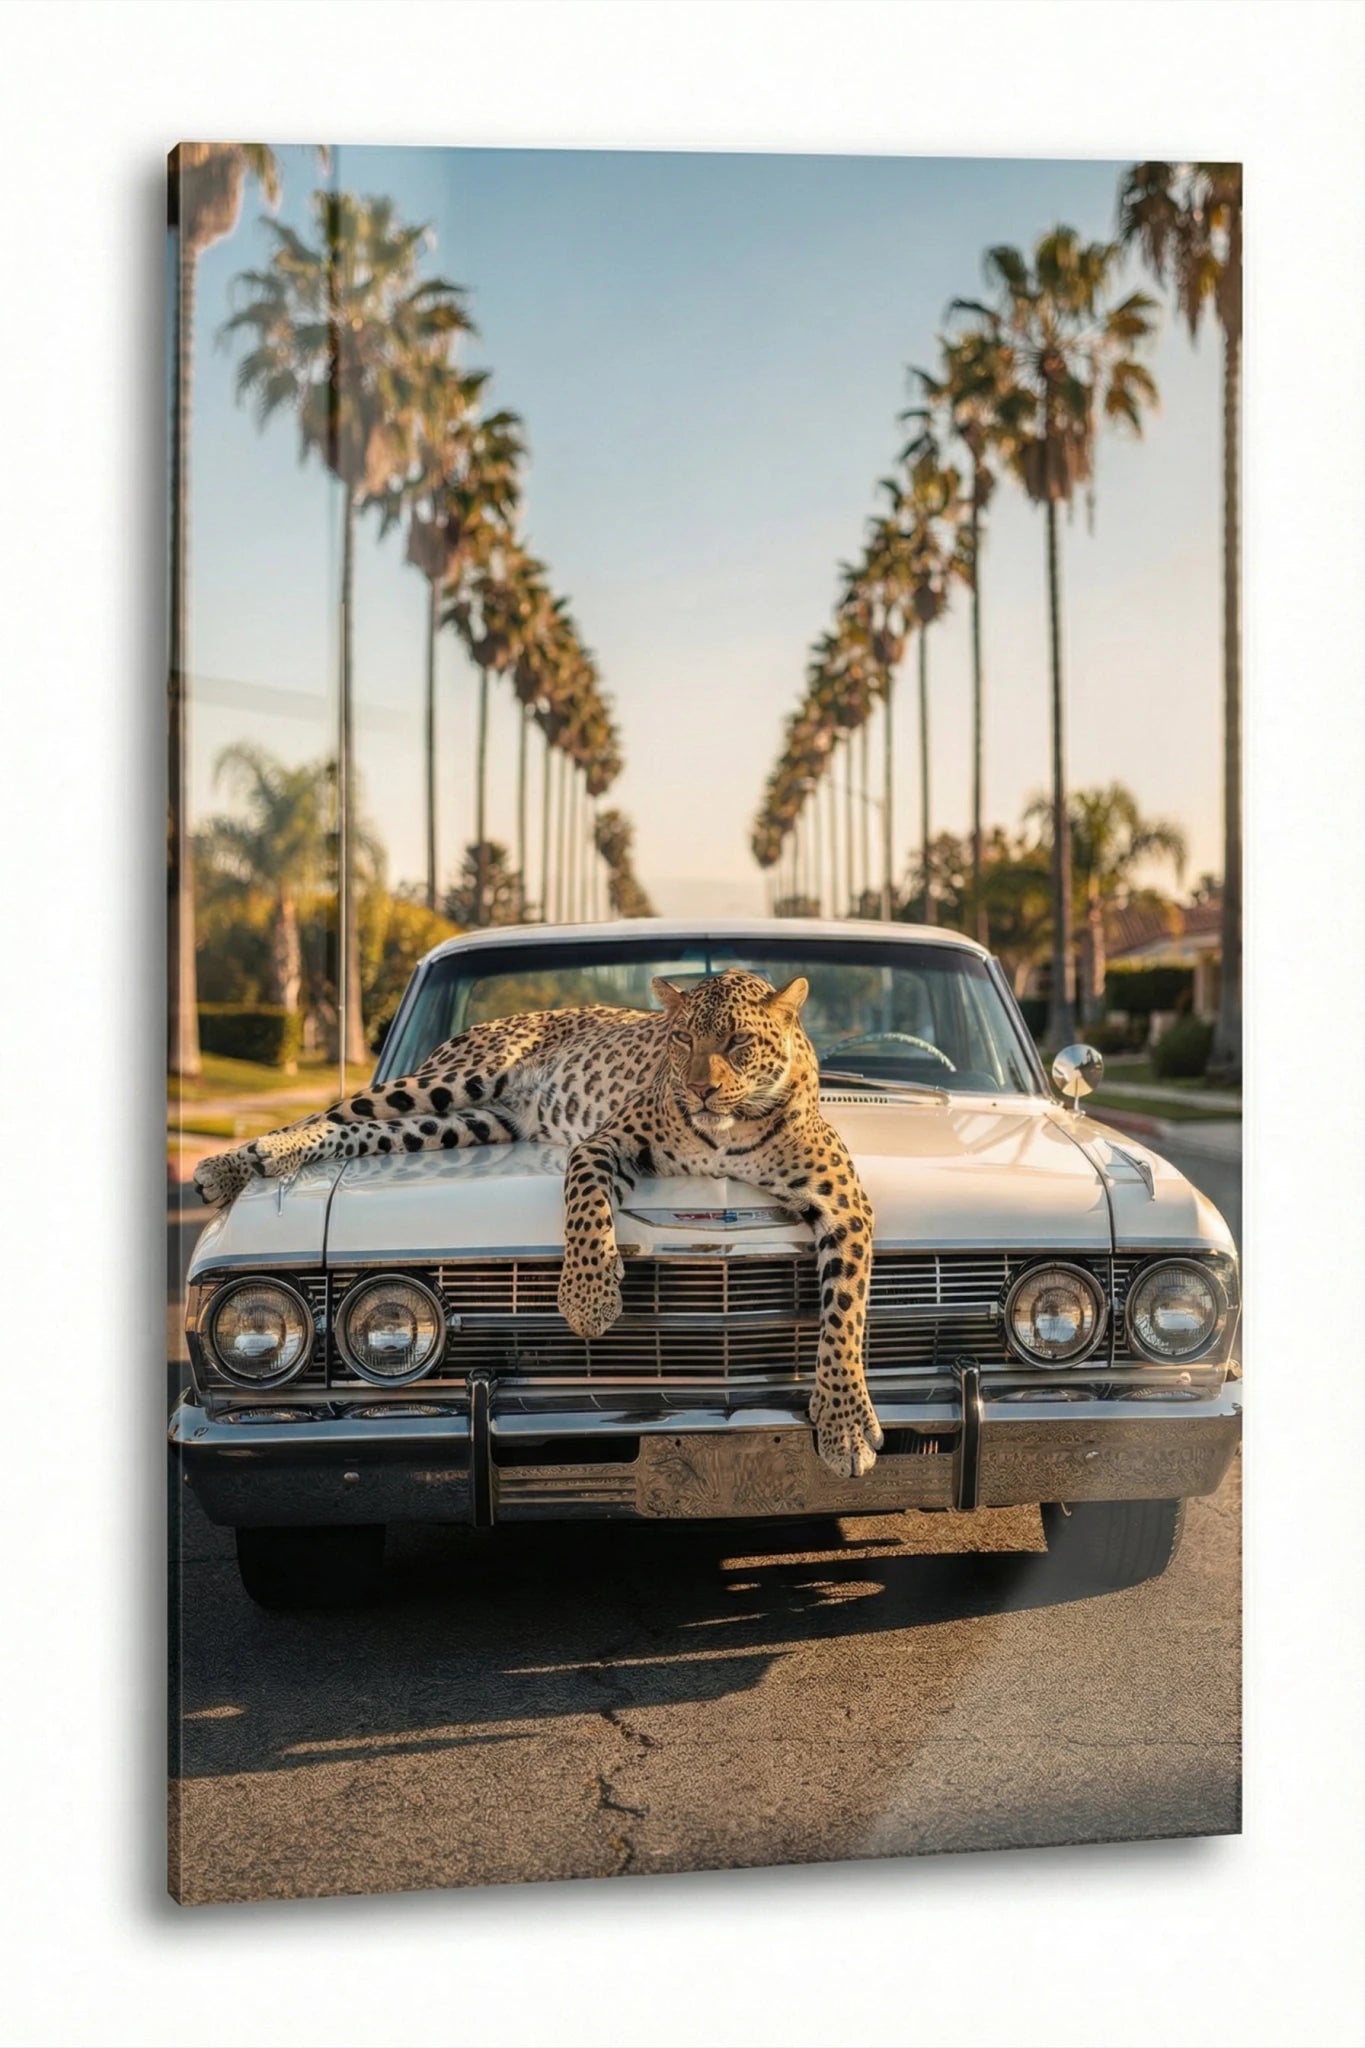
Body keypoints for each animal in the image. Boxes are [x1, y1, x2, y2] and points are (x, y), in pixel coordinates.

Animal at [193, 969, 883, 1478]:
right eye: (682, 1040)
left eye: (739, 1042)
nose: (700, 1091)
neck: (729, 1129)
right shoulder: (604, 1145)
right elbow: (586, 1208)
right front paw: (588, 1300)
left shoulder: (844, 1202)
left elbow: (845, 1316)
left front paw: (845, 1424)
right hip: (452, 1081)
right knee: (332, 1112)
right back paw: (234, 1166)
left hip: (462, 1123)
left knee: (360, 1133)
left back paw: (262, 1161)